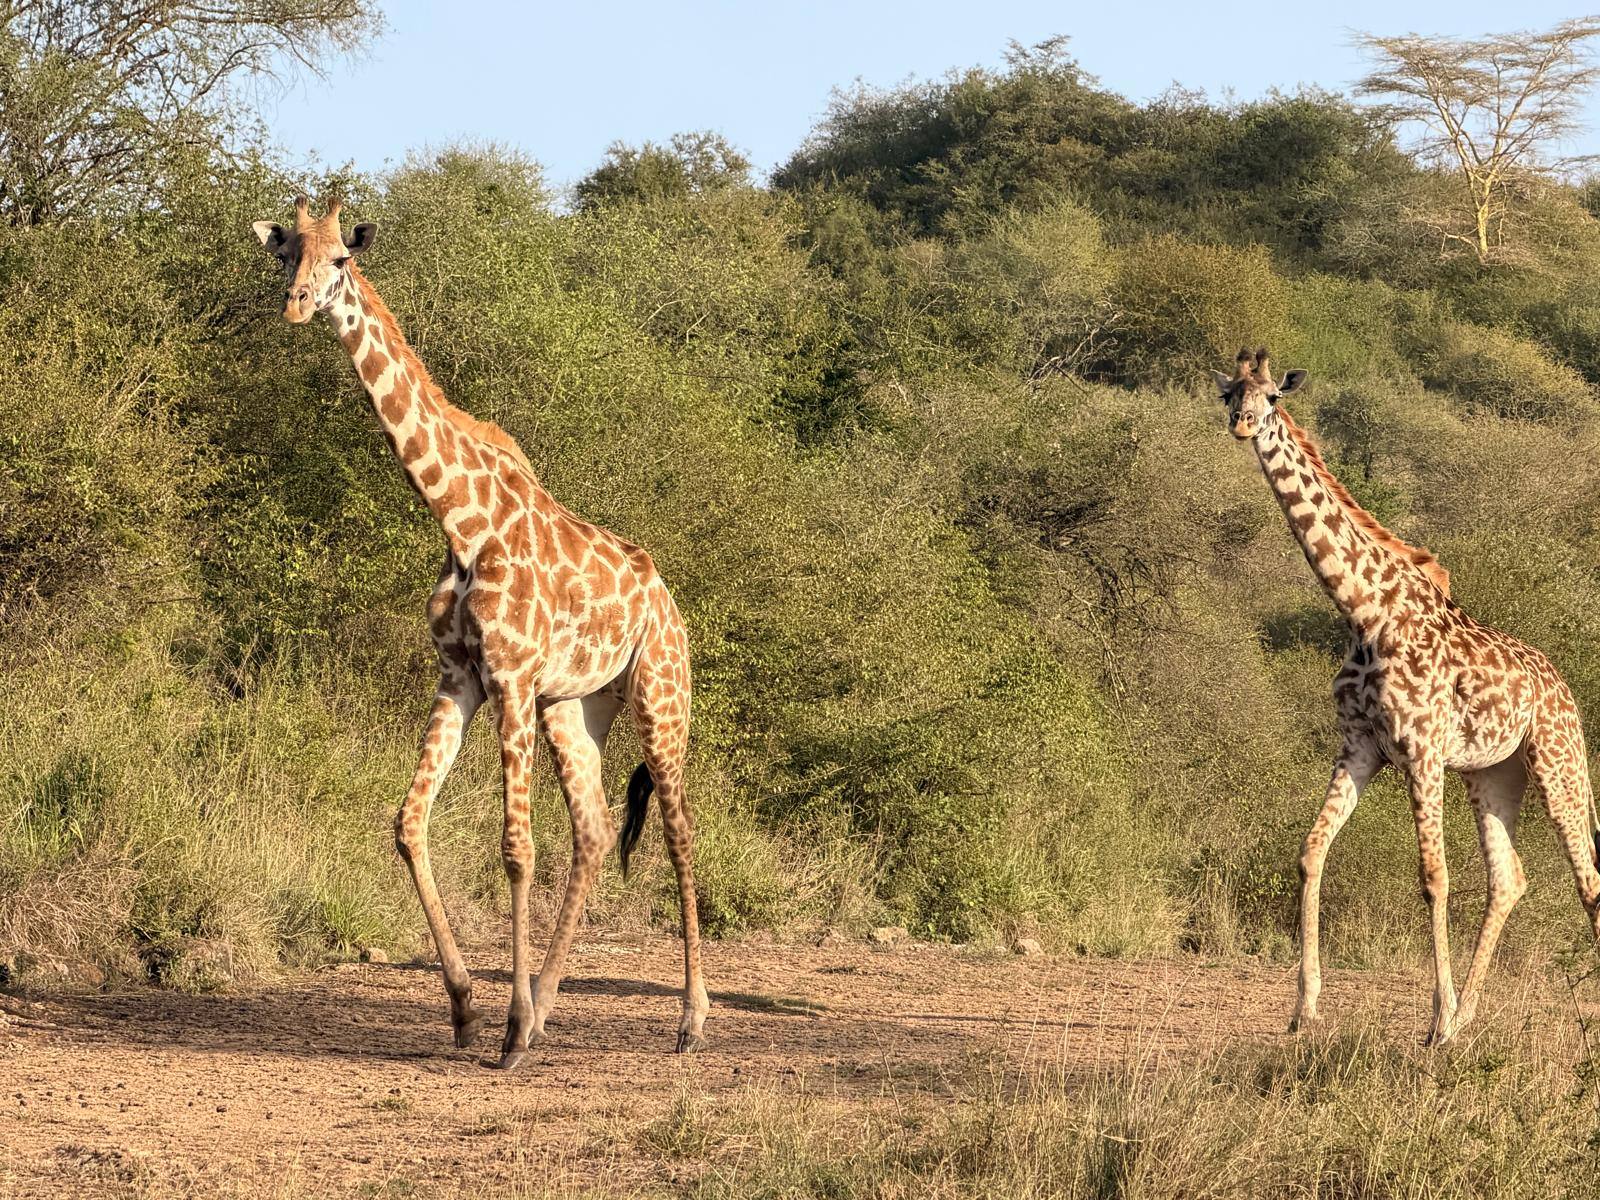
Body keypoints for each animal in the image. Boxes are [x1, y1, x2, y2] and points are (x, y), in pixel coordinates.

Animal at [252, 196, 710, 1067]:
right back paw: (550, 1007)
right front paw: (471, 1010)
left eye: (340, 260)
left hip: (660, 696)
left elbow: (515, 850)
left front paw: (506, 1029)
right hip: (578, 706)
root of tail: (667, 599)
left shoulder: (510, 677)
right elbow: (408, 824)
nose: (294, 307)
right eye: (285, 251)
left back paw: (689, 1021)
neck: (461, 521)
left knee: (677, 832)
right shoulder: (460, 676)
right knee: (595, 831)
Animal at [1212, 346, 1600, 1045]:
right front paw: (1304, 1010)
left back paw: (1463, 1018)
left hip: (1559, 766)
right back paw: (1468, 1017)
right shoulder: (1360, 746)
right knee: (1510, 878)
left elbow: (1433, 879)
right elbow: (1311, 854)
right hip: (1493, 773)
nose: (1243, 424)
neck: (1362, 611)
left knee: (1588, 880)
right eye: (1231, 395)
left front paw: (1433, 1020)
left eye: (1273, 397)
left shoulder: (1421, 750)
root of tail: (1565, 692)